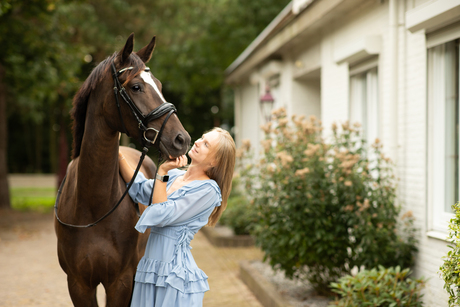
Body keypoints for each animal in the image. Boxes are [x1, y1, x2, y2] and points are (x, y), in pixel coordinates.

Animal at [55, 34, 190, 307]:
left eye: (159, 84)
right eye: (136, 87)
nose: (182, 139)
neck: (93, 206)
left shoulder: (121, 282)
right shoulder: (79, 285)